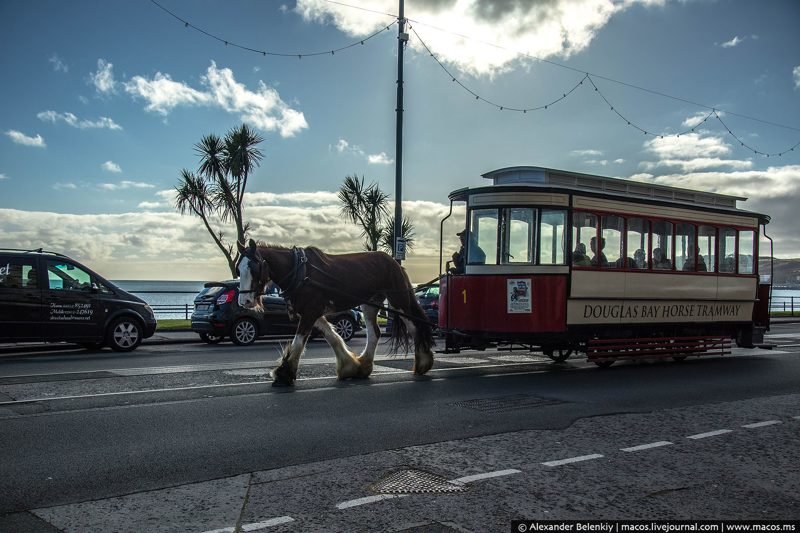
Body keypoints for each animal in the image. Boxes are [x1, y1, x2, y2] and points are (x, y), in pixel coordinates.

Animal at [236, 241, 434, 386]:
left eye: (253, 268)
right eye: (238, 269)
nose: (244, 301)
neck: (300, 272)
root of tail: (394, 262)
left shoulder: (310, 312)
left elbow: (299, 341)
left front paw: (285, 373)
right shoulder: (311, 312)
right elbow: (331, 336)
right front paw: (349, 366)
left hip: (398, 301)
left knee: (414, 327)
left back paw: (423, 363)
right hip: (370, 303)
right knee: (374, 333)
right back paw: (364, 366)